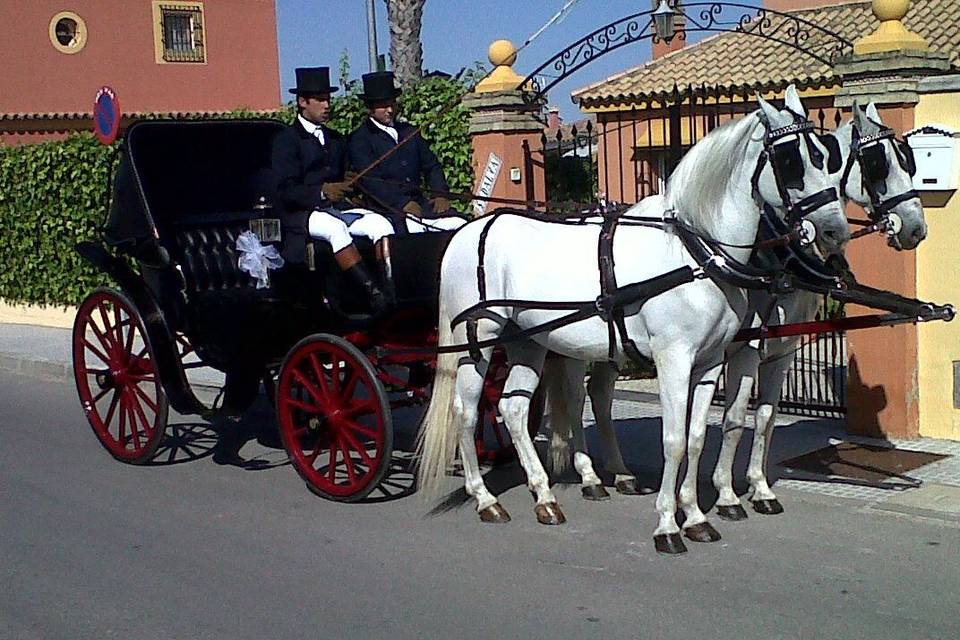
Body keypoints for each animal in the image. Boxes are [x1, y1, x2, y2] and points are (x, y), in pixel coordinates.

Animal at [416, 86, 852, 556]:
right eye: (790, 160)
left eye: (825, 156)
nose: (835, 231)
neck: (692, 251)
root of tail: (467, 232)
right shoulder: (673, 360)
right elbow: (673, 441)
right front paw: (668, 525)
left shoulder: (710, 363)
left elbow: (696, 438)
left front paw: (695, 516)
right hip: (476, 345)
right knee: (466, 411)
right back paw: (485, 498)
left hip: (528, 342)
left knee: (513, 409)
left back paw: (545, 496)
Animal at [544, 104, 928, 516]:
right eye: (877, 163)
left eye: (907, 159)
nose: (916, 229)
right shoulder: (745, 350)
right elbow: (733, 420)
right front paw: (726, 493)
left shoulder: (780, 352)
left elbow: (764, 418)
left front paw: (758, 487)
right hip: (575, 346)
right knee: (576, 399)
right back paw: (589, 476)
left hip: (612, 345)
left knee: (600, 394)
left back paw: (620, 472)